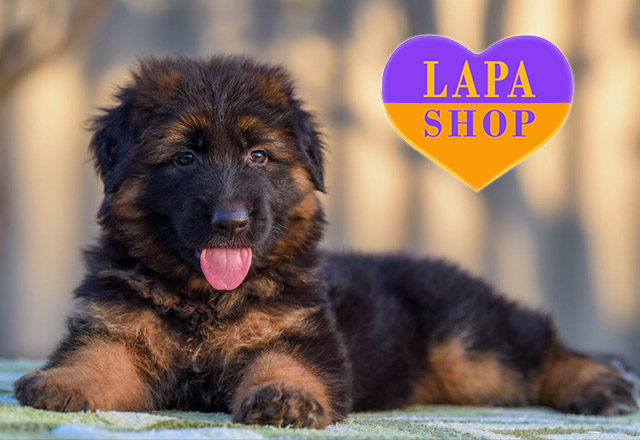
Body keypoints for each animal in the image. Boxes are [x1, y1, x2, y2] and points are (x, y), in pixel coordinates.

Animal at [14, 55, 638, 428]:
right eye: (184, 157)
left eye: (258, 156)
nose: (230, 221)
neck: (205, 298)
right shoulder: (115, 329)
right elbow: (99, 358)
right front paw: (63, 382)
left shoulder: (303, 335)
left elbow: (286, 364)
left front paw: (284, 397)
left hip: (466, 344)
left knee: (537, 347)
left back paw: (600, 385)